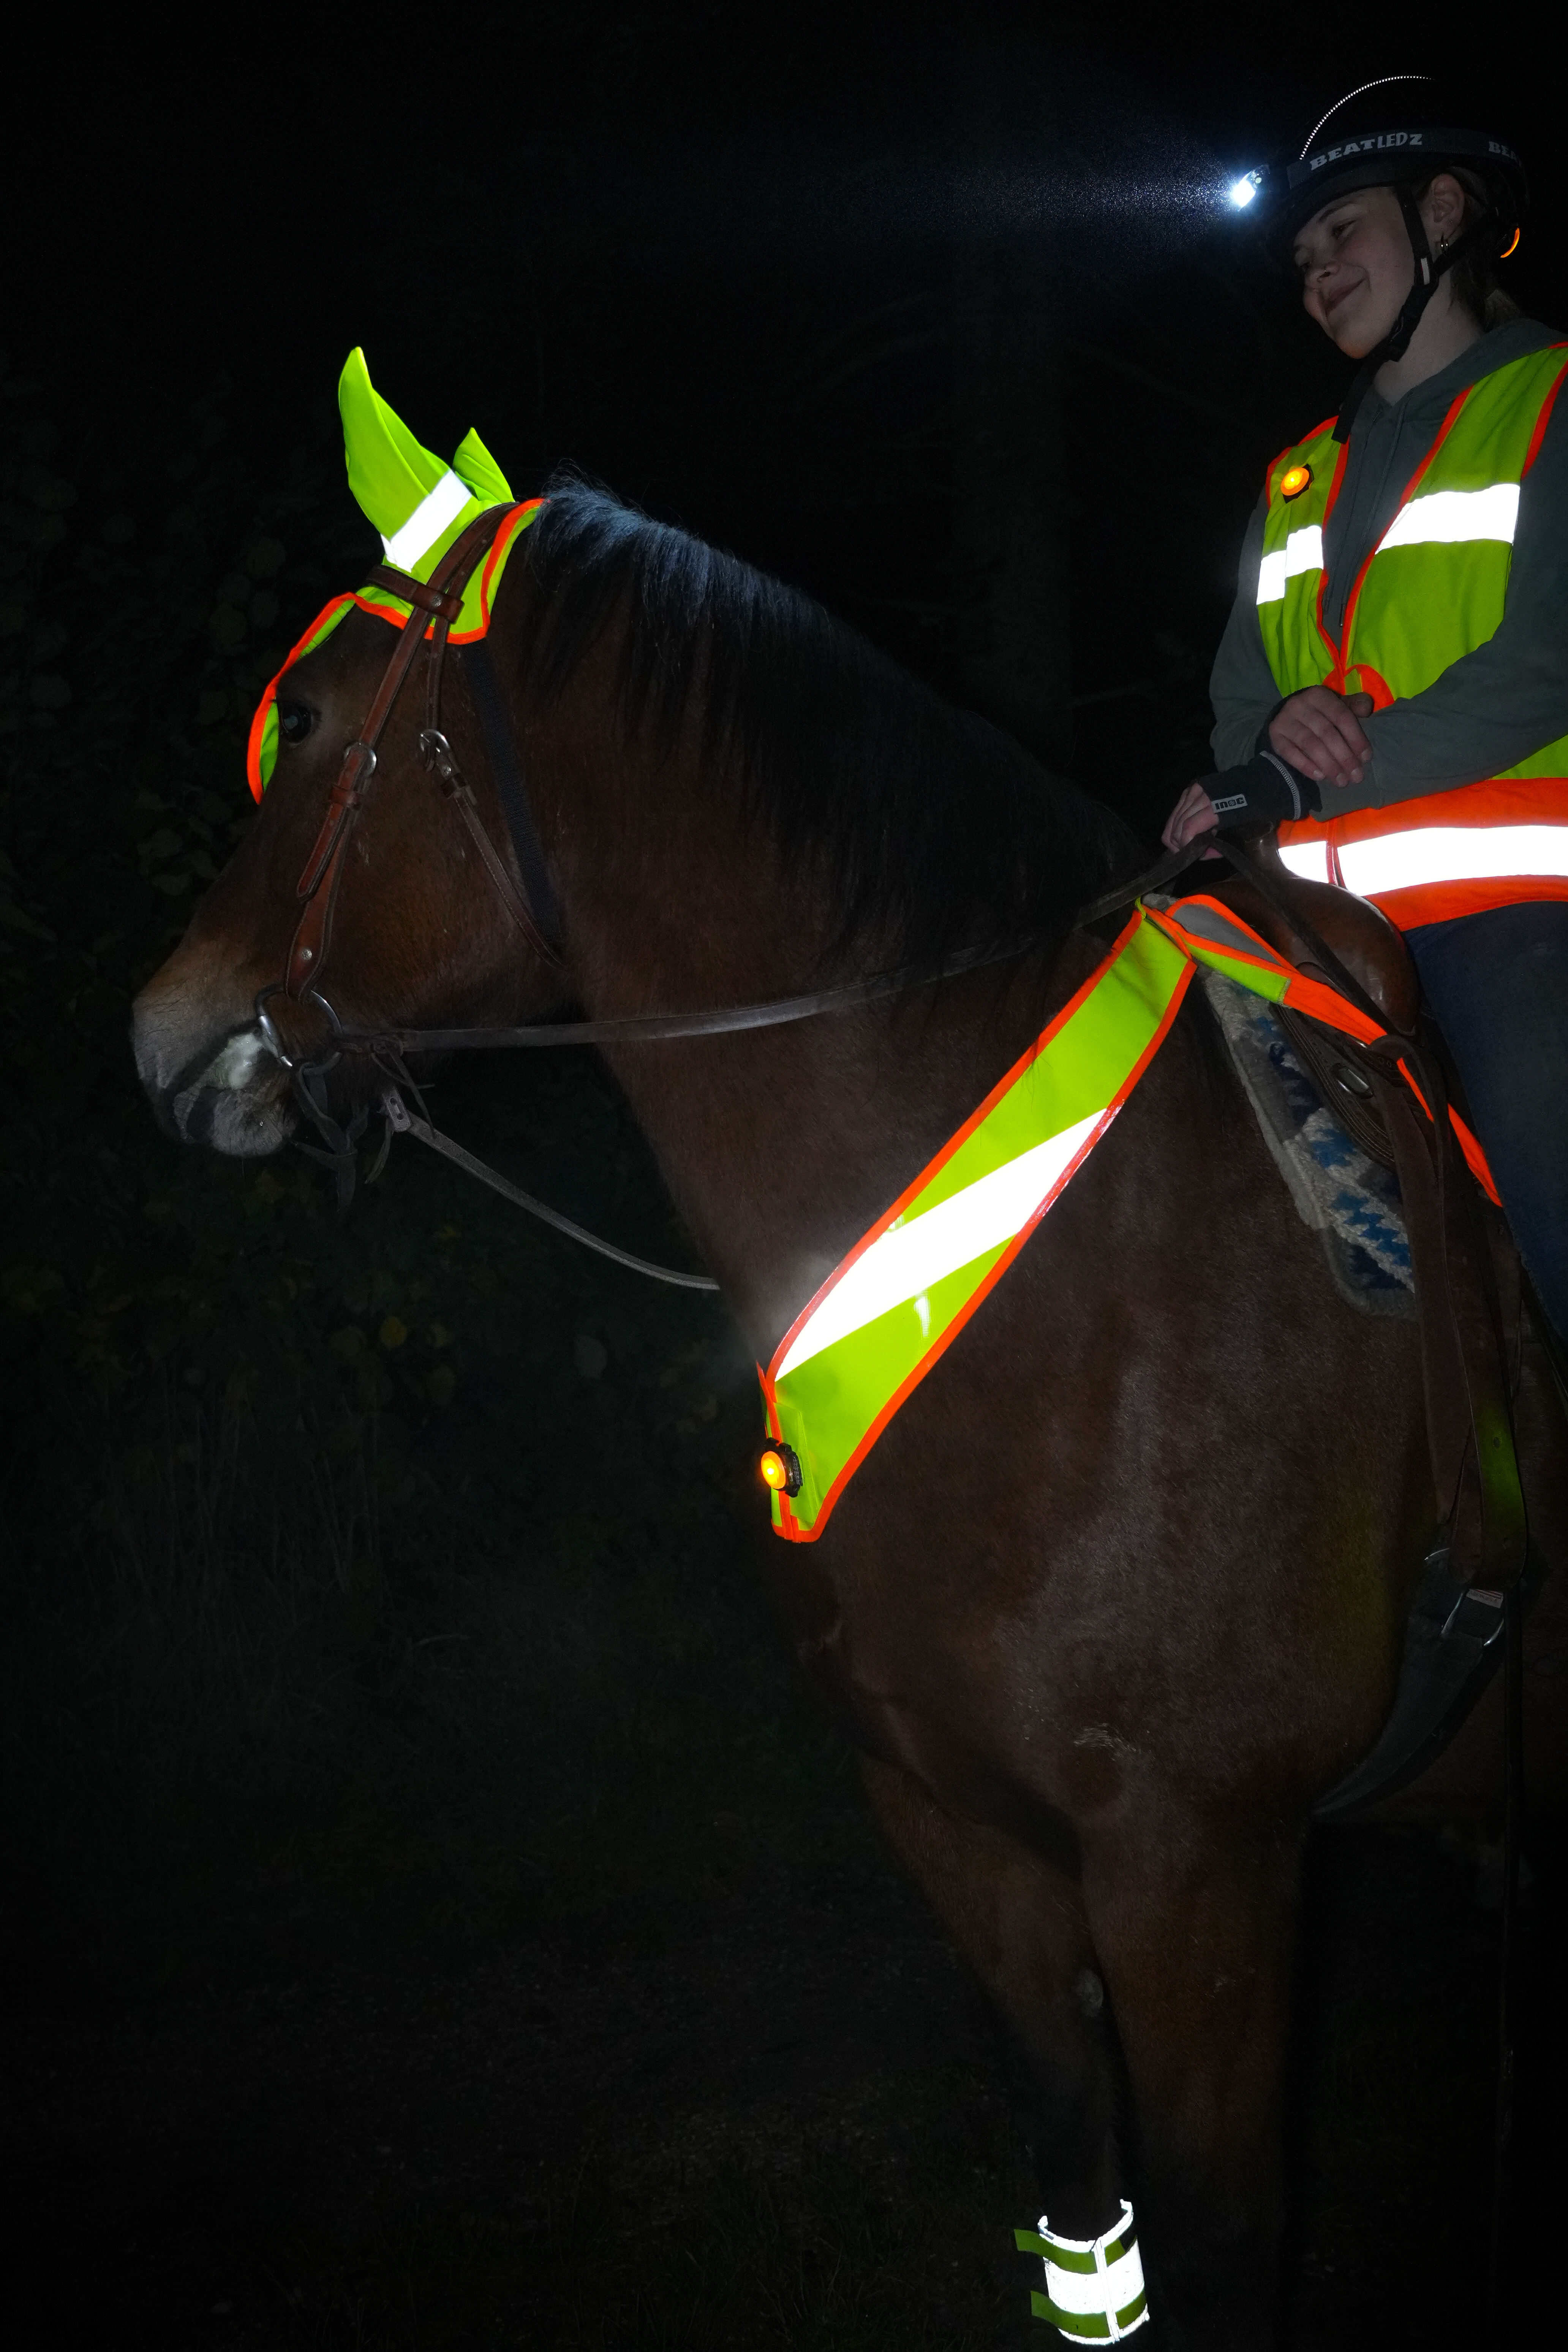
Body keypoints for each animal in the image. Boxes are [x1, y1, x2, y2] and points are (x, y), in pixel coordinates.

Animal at [131, 479, 1568, 2347]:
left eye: (310, 723)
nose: (162, 1036)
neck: (1071, 1276)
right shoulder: (954, 1826)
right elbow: (1083, 2196)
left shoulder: (1202, 1867)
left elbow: (1221, 2234)